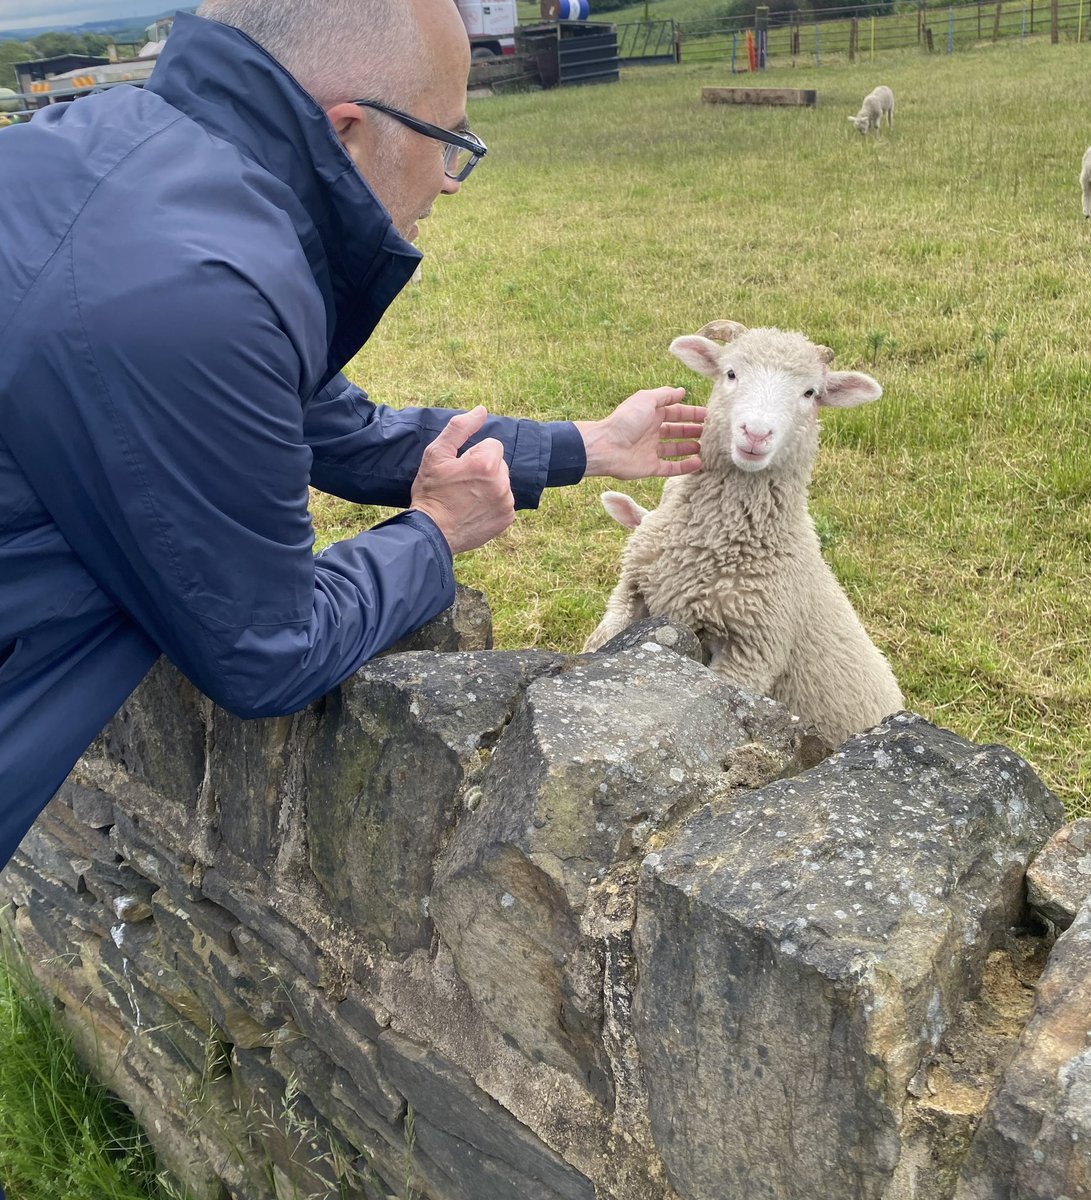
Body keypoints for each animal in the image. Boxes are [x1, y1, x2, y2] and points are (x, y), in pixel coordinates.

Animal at [583, 320, 904, 748]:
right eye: (730, 373)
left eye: (811, 393)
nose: (755, 433)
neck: (712, 545)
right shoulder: (632, 592)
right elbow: (598, 642)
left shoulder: (752, 651)